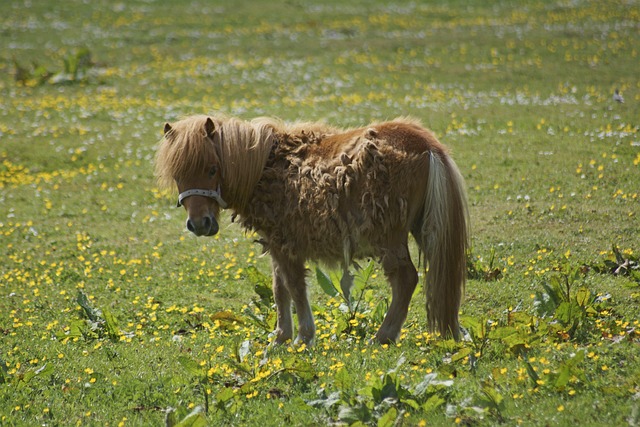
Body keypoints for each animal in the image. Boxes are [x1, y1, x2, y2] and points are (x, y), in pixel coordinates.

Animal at [154, 115, 470, 346]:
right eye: (178, 174)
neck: (266, 168)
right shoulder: (276, 245)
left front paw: (302, 338)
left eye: (211, 169)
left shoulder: (286, 245)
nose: (199, 224)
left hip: (390, 238)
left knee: (406, 279)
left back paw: (383, 337)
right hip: (424, 229)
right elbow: (279, 289)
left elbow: (294, 288)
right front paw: (280, 338)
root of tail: (427, 145)